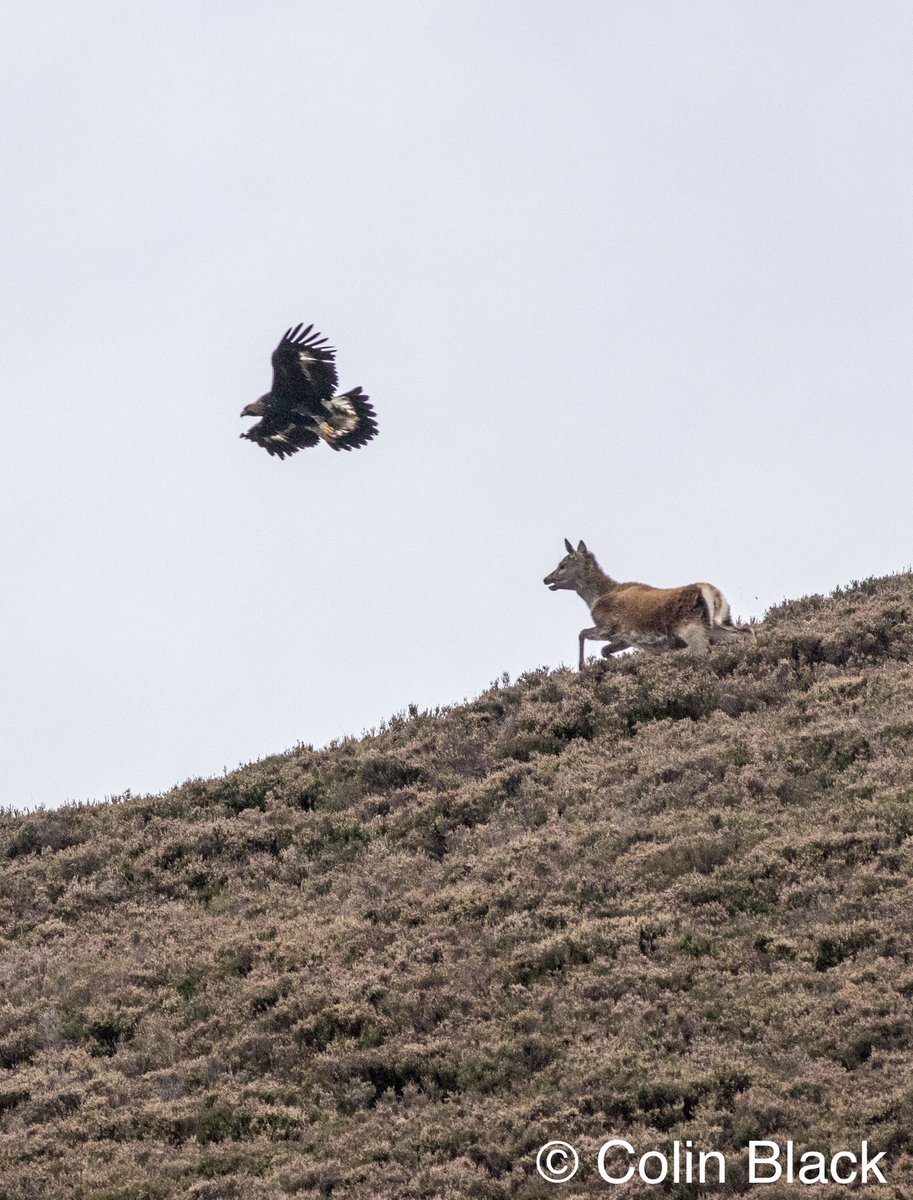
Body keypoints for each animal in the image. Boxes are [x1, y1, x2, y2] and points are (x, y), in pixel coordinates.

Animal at [544, 539, 751, 668]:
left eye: (562, 565)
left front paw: (582, 667)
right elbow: (604, 650)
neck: (595, 599)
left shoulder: (608, 627)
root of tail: (713, 594)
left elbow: (582, 633)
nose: (546, 579)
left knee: (701, 651)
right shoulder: (624, 639)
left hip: (692, 626)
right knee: (746, 631)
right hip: (719, 623)